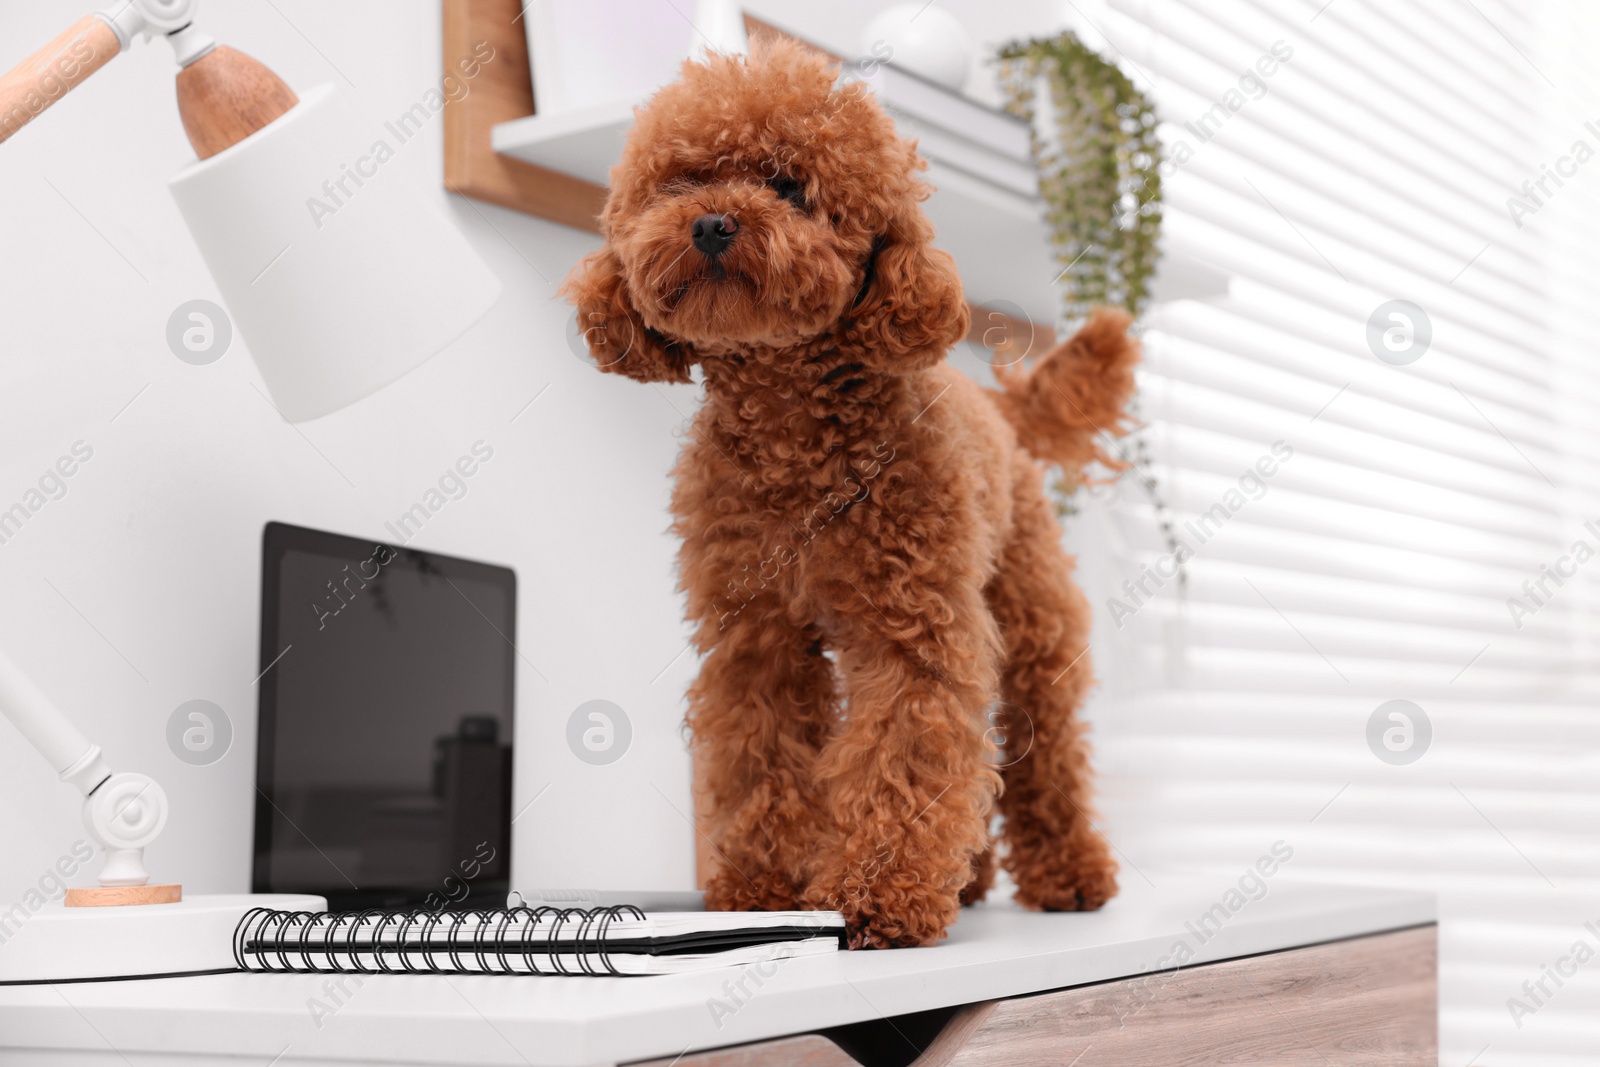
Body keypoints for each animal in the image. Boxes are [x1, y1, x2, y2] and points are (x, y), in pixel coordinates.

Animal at [563, 35, 1139, 953]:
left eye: (791, 186)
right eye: (680, 182)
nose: (712, 223)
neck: (794, 435)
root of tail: (999, 405)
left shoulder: (914, 627)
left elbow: (903, 749)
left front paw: (879, 894)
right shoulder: (753, 635)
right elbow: (761, 755)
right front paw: (762, 888)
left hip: (1032, 620)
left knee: (1044, 747)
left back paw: (1071, 873)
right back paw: (969, 880)